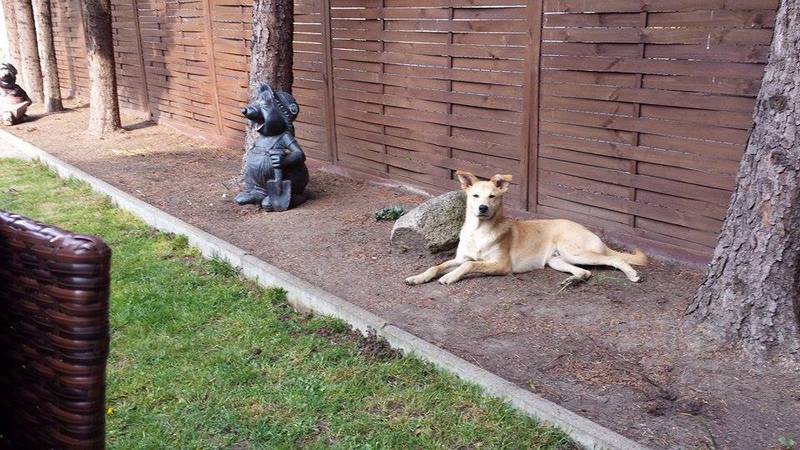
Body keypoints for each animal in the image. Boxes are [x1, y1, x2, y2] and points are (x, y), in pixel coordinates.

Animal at [405, 171, 648, 286]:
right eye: (475, 196)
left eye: (492, 196)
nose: (483, 208)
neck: (479, 231)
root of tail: (588, 230)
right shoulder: (460, 257)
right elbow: (436, 266)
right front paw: (418, 277)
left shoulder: (501, 265)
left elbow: (469, 265)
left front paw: (450, 277)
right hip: (556, 260)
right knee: (585, 272)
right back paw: (573, 281)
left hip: (574, 250)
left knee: (615, 259)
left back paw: (631, 274)